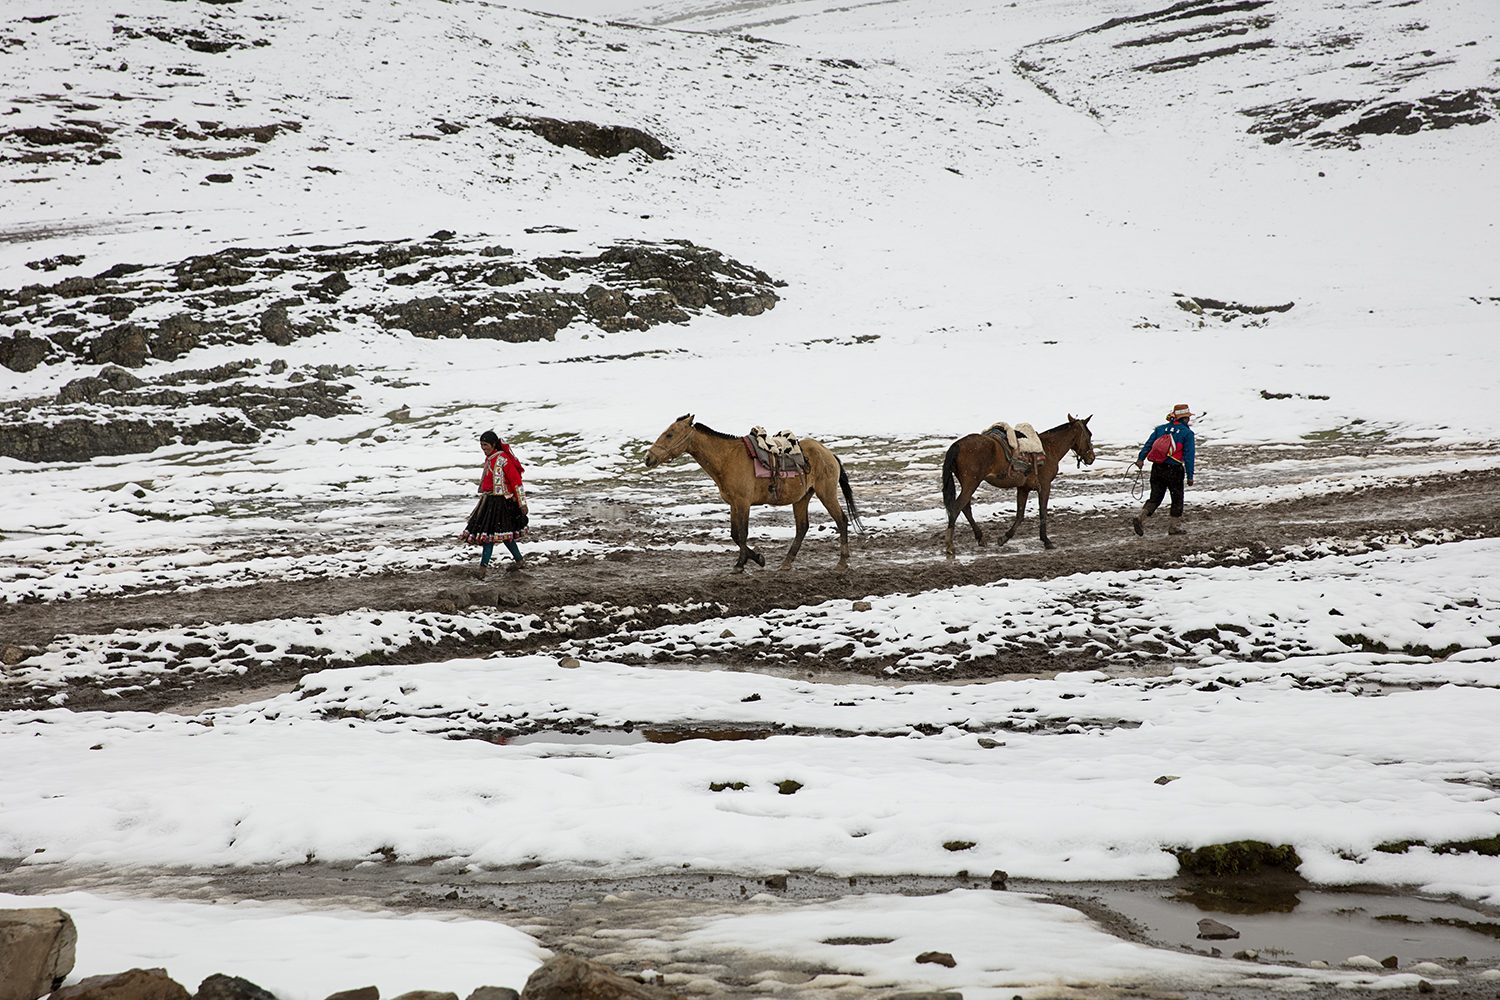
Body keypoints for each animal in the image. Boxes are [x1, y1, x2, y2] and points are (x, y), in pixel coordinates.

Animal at [644, 414, 862, 572]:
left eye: (670, 434)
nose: (648, 458)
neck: (726, 459)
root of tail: (829, 454)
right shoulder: (733, 503)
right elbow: (734, 534)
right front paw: (758, 558)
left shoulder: (743, 502)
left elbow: (742, 533)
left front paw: (740, 565)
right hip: (802, 498)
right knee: (802, 528)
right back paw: (786, 563)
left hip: (826, 493)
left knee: (841, 520)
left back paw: (842, 563)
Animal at [941, 415, 1095, 556]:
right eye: (1089, 434)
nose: (1092, 458)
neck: (1049, 449)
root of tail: (957, 445)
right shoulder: (1045, 486)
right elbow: (1042, 512)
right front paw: (1046, 541)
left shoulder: (1023, 488)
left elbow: (1020, 514)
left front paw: (1004, 538)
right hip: (971, 483)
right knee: (956, 508)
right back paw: (950, 545)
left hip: (968, 484)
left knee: (965, 507)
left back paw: (980, 538)